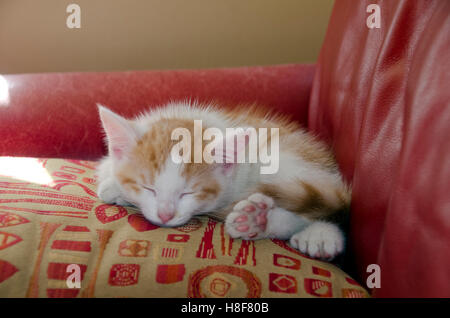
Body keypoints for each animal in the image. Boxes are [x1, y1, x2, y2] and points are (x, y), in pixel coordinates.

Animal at [96, 102, 352, 260]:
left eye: (188, 193)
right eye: (148, 188)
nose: (165, 215)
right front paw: (113, 185)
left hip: (285, 161)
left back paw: (316, 233)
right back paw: (257, 221)